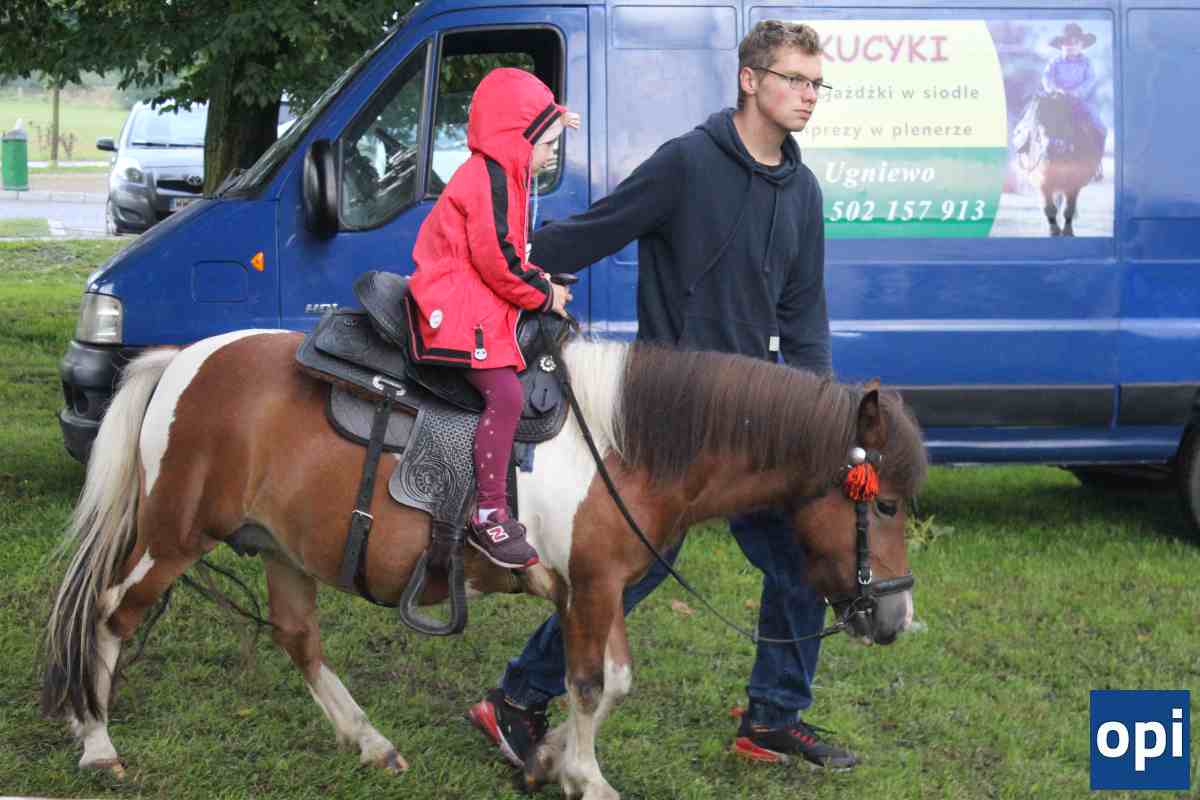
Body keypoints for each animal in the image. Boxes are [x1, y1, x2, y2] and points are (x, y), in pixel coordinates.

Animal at [41, 329, 927, 800]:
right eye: (883, 505)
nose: (896, 616)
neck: (626, 447)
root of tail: (179, 361)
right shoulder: (595, 584)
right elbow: (595, 684)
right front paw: (585, 775)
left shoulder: (588, 590)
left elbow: (604, 682)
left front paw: (547, 756)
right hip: (174, 536)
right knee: (109, 615)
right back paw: (96, 740)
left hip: (281, 547)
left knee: (297, 638)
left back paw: (368, 740)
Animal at [1014, 91, 1104, 237]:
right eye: (1039, 127)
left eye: (1065, 123)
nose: (1054, 146)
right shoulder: (1043, 183)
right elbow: (1049, 208)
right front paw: (1053, 230)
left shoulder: (1074, 184)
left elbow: (1069, 209)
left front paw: (1068, 231)